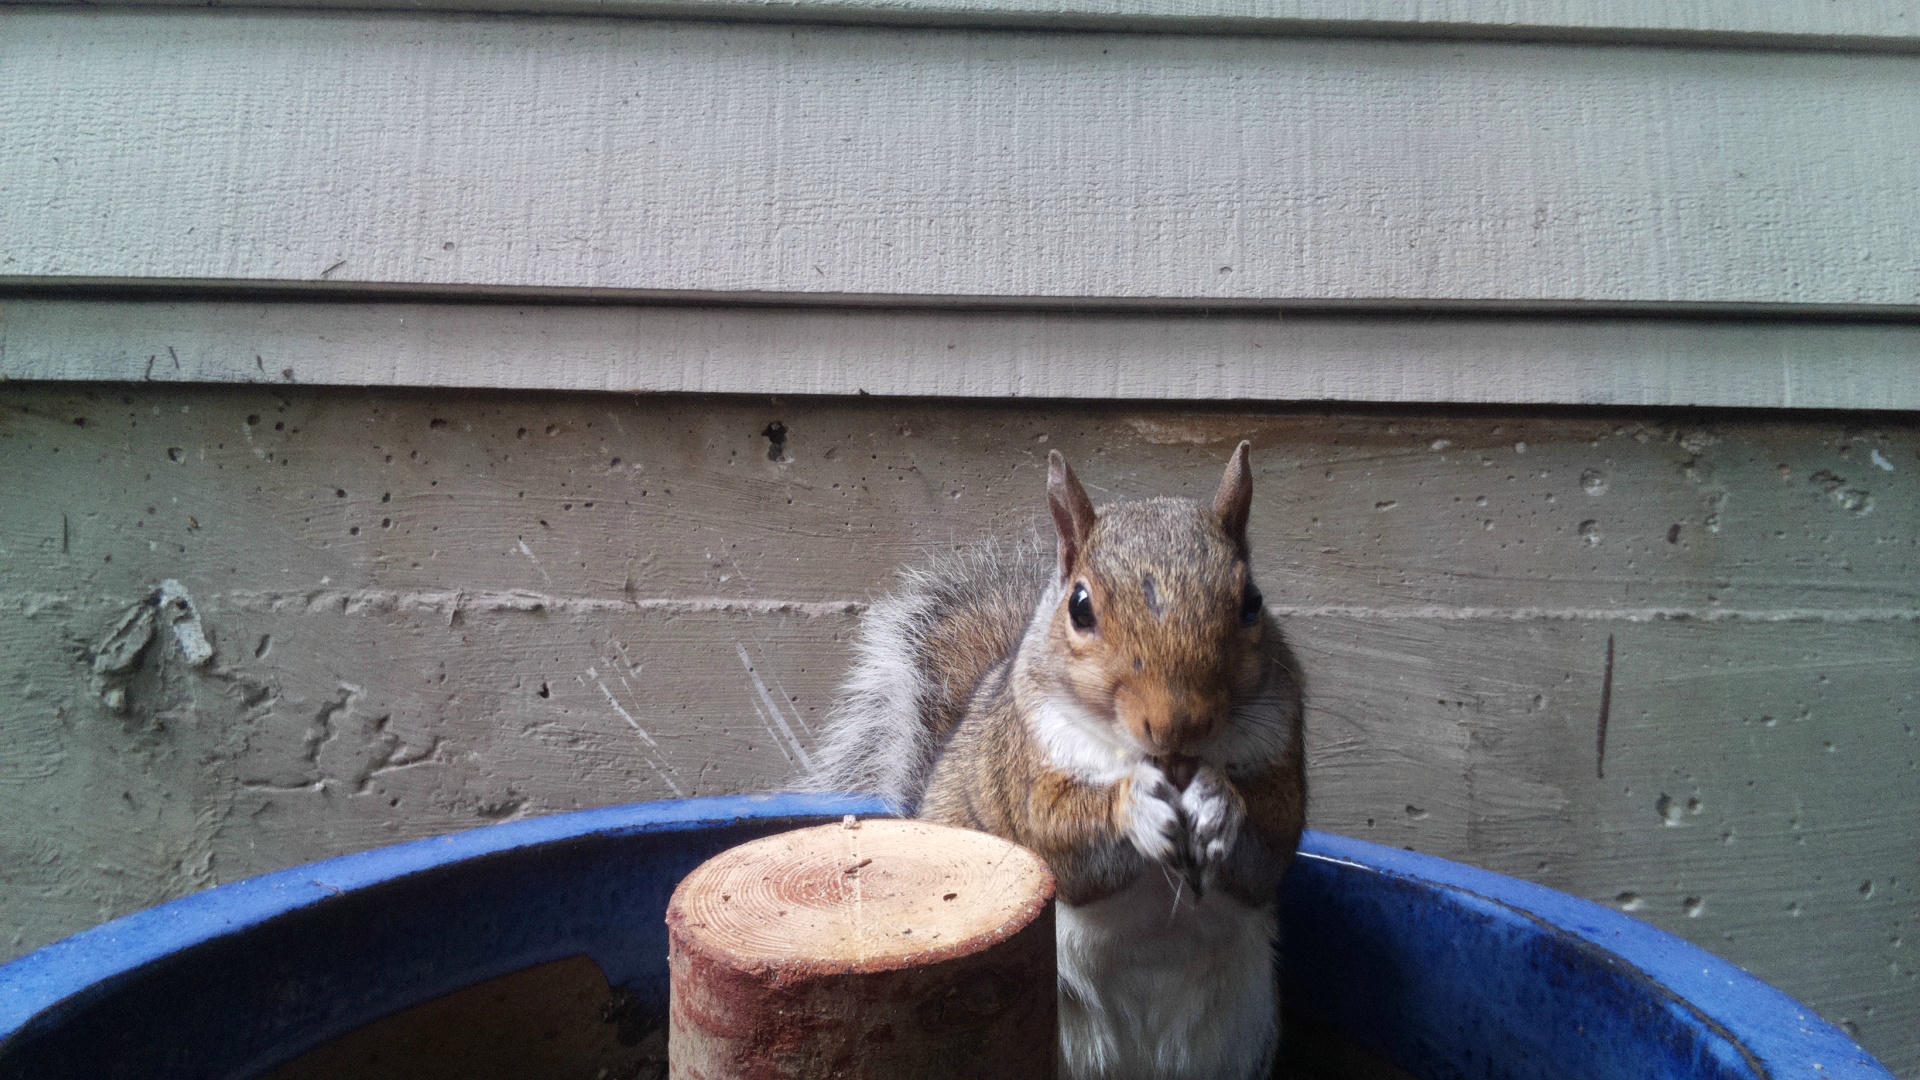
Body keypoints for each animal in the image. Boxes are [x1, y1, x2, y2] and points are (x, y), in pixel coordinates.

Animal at [808, 442, 1306, 1080]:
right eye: (1081, 606)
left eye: (1253, 604)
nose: (1179, 725)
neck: (1164, 764)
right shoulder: (1023, 766)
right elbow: (1055, 834)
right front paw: (1133, 807)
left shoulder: (1283, 745)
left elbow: (1272, 840)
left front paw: (1220, 801)